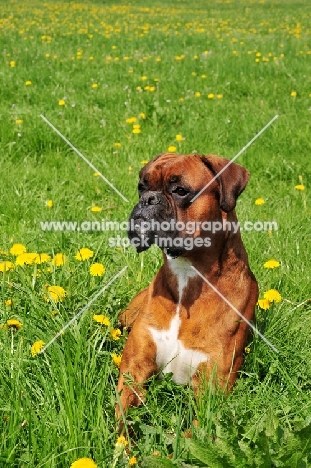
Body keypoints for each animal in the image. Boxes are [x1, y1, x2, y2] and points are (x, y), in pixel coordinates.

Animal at [116, 153, 260, 428]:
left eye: (180, 190)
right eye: (142, 186)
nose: (147, 199)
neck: (186, 274)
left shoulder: (211, 389)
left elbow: (194, 432)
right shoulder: (134, 369)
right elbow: (122, 421)